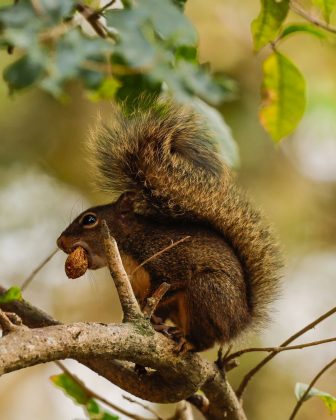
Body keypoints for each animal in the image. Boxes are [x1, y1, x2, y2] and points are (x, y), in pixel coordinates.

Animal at [56, 98, 282, 352]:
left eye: (89, 220)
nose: (60, 242)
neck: (129, 249)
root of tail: (240, 322)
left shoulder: (170, 260)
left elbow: (172, 284)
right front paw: (149, 319)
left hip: (207, 290)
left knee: (206, 339)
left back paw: (187, 340)